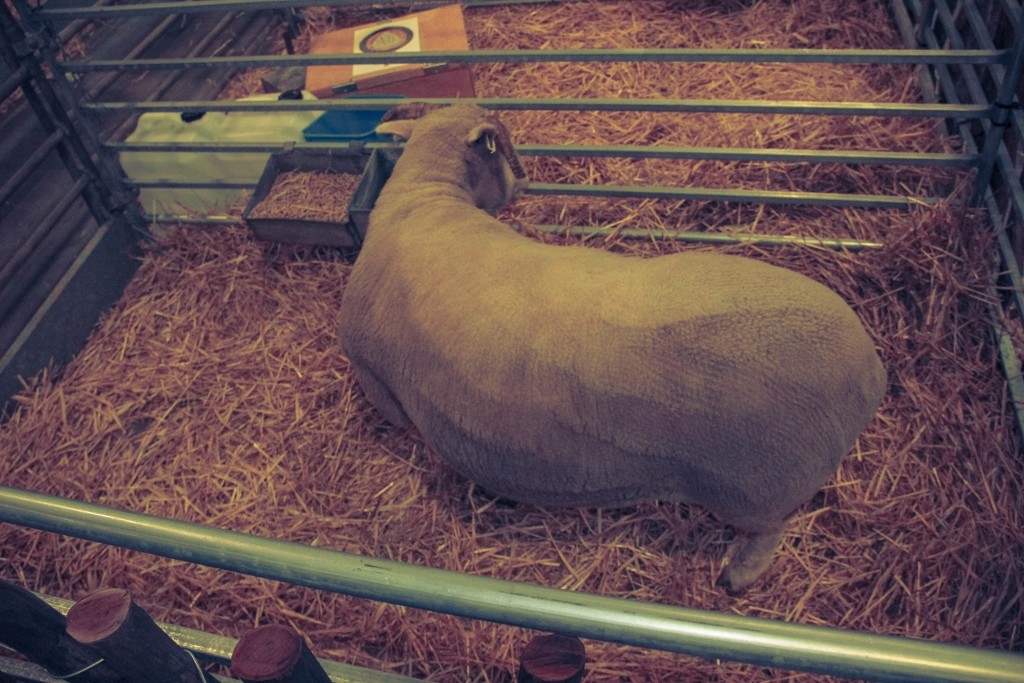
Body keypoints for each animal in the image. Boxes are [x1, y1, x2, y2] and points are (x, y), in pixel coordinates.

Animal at [337, 103, 887, 592]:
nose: (523, 183)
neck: (426, 198)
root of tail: (869, 365)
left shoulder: (374, 376)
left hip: (758, 488)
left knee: (770, 531)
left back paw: (737, 576)